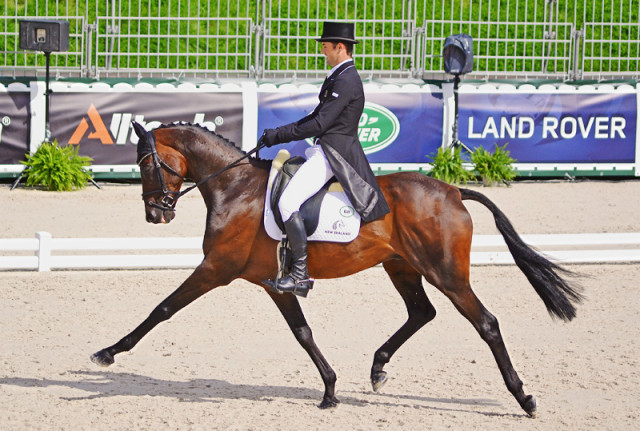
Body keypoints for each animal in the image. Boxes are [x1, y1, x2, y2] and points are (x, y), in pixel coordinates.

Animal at [91, 122, 584, 418]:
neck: (234, 188)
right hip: (402, 266)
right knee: (421, 313)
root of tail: (452, 190)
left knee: (486, 323)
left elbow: (163, 309)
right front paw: (330, 390)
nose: (156, 215)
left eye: (146, 163)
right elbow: (303, 333)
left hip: (447, 274)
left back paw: (524, 397)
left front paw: (108, 352)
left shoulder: (215, 268)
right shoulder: (275, 285)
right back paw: (378, 368)